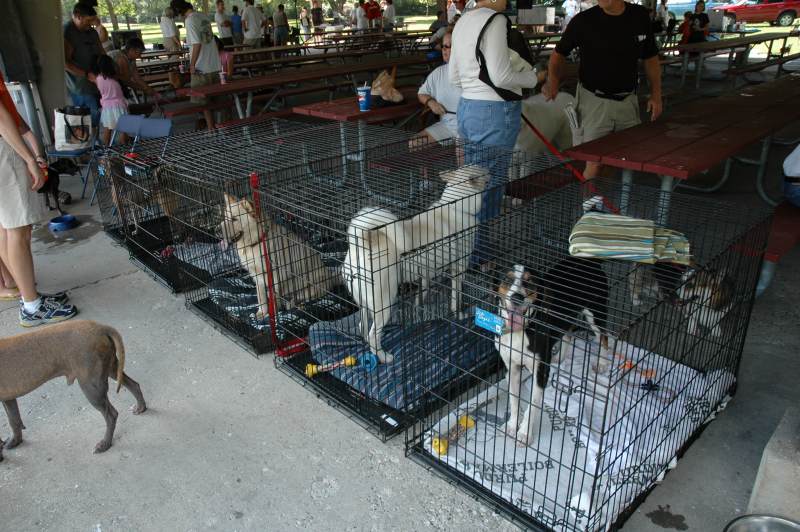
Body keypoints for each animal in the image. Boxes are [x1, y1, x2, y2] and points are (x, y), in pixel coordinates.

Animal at [0, 320, 146, 462]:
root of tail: (101, 327)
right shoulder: (8, 398)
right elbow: (14, 420)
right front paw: (15, 441)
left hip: (92, 387)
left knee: (111, 415)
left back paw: (105, 444)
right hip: (111, 369)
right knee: (134, 385)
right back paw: (140, 407)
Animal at [342, 166, 488, 364]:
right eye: (484, 173)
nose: (490, 174)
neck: (455, 206)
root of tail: (364, 241)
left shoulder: (425, 272)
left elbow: (423, 292)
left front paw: (420, 307)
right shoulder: (458, 270)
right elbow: (456, 299)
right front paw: (460, 315)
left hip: (364, 302)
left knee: (362, 325)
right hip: (385, 301)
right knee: (373, 334)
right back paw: (384, 357)